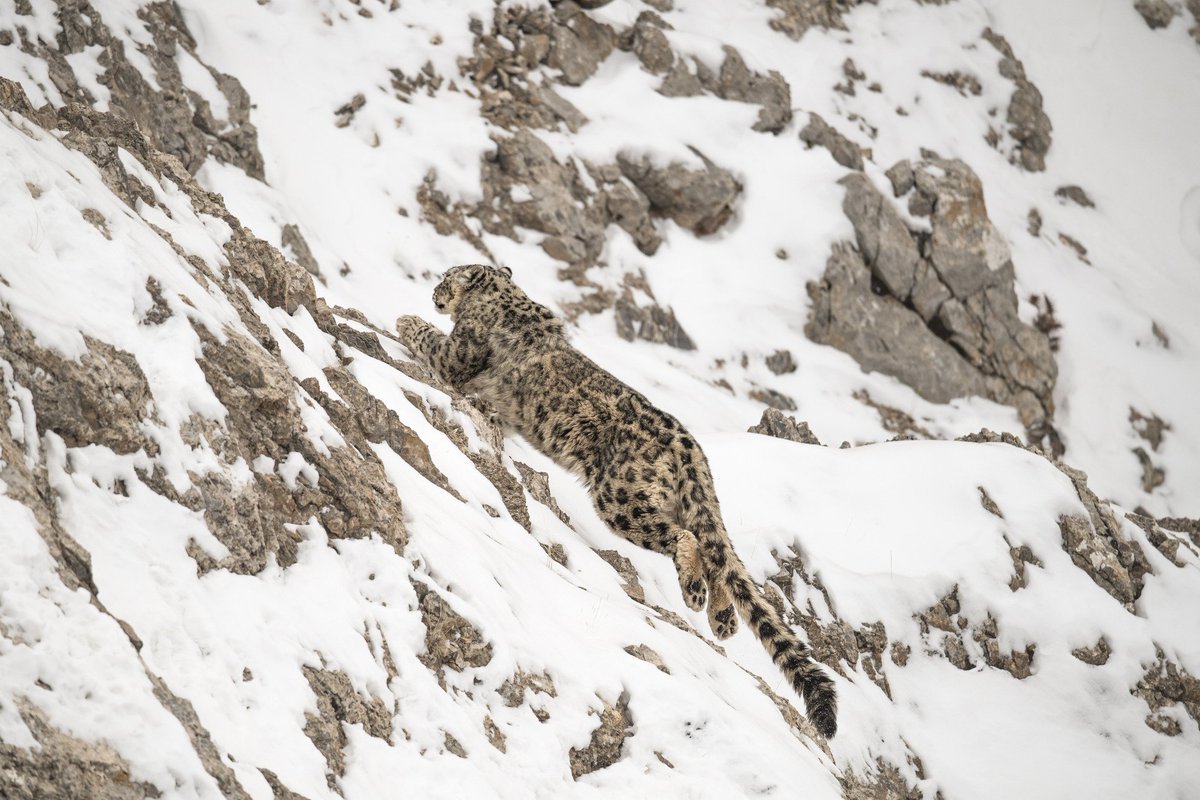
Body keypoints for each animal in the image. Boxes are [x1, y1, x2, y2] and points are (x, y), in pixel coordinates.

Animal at [398, 263, 840, 738]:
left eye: (447, 277)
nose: (434, 292)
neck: (504, 296)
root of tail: (691, 448)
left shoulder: (460, 349)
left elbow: (434, 343)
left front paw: (405, 320)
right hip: (680, 502)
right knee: (717, 554)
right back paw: (721, 618)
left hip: (619, 498)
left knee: (685, 538)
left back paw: (694, 594)